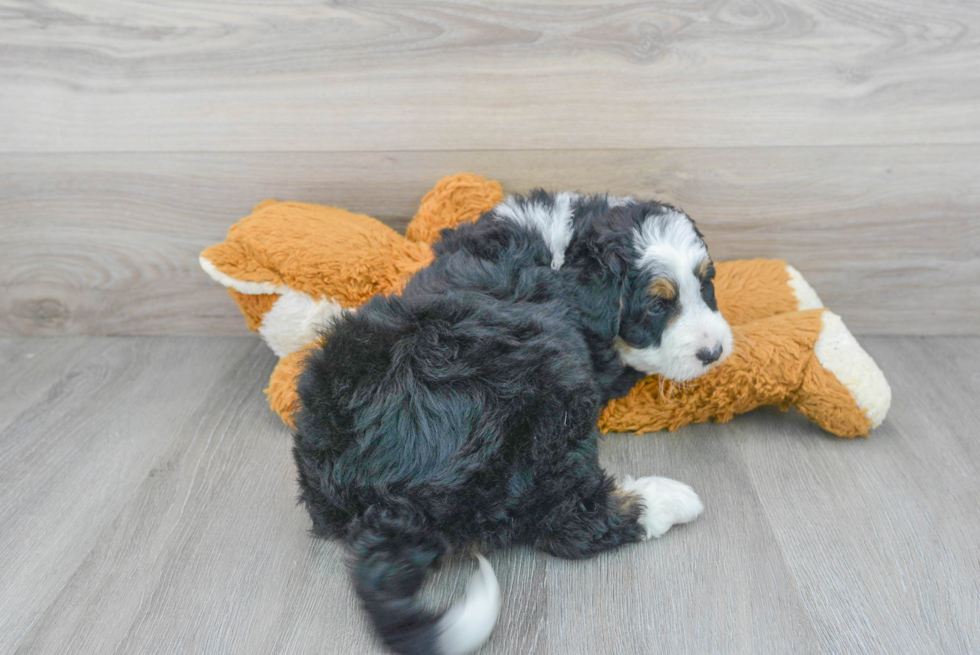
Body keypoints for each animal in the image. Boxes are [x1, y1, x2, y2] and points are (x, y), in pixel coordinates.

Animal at [294, 191, 732, 655]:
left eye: (706, 285)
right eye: (656, 305)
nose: (713, 352)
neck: (564, 247)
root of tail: (387, 499)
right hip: (549, 393)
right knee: (569, 519)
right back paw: (669, 499)